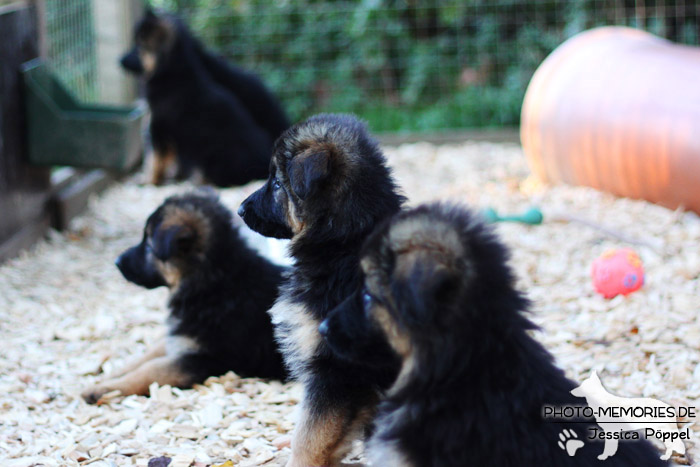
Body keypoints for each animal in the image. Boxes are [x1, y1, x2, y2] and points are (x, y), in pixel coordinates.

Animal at [81, 191, 288, 406]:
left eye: (148, 246)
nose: (117, 262)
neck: (213, 283)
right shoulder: (181, 338)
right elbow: (146, 356)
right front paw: (111, 376)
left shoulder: (207, 359)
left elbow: (150, 370)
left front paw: (104, 389)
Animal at [119, 10, 288, 186]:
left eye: (139, 47)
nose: (119, 60)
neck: (171, 73)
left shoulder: (158, 128)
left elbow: (153, 160)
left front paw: (149, 180)